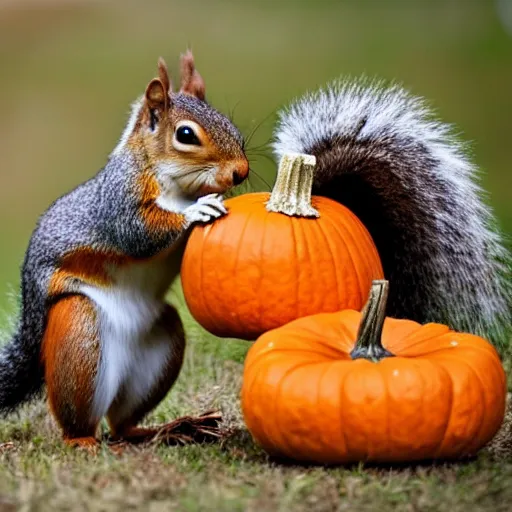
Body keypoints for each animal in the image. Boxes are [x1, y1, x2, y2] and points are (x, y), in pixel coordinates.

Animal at [0, 50, 249, 446]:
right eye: (185, 135)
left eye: (230, 123)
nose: (240, 171)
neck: (173, 181)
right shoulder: (119, 202)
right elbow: (138, 232)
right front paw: (195, 210)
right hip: (79, 330)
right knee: (83, 421)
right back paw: (83, 441)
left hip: (162, 344)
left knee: (123, 424)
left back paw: (171, 428)